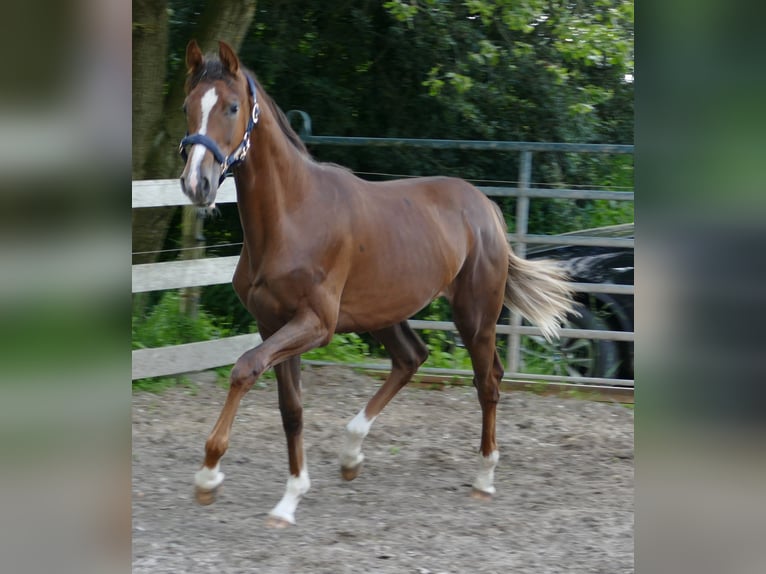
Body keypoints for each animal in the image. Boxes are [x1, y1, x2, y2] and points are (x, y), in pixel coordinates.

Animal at [180, 38, 576, 528]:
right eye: (188, 106)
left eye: (232, 107)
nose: (196, 184)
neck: (290, 217)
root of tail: (487, 208)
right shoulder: (274, 324)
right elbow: (291, 409)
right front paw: (289, 499)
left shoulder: (315, 324)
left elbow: (244, 368)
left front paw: (209, 475)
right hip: (386, 312)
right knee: (412, 358)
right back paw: (351, 454)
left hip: (474, 316)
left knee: (488, 382)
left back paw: (484, 478)